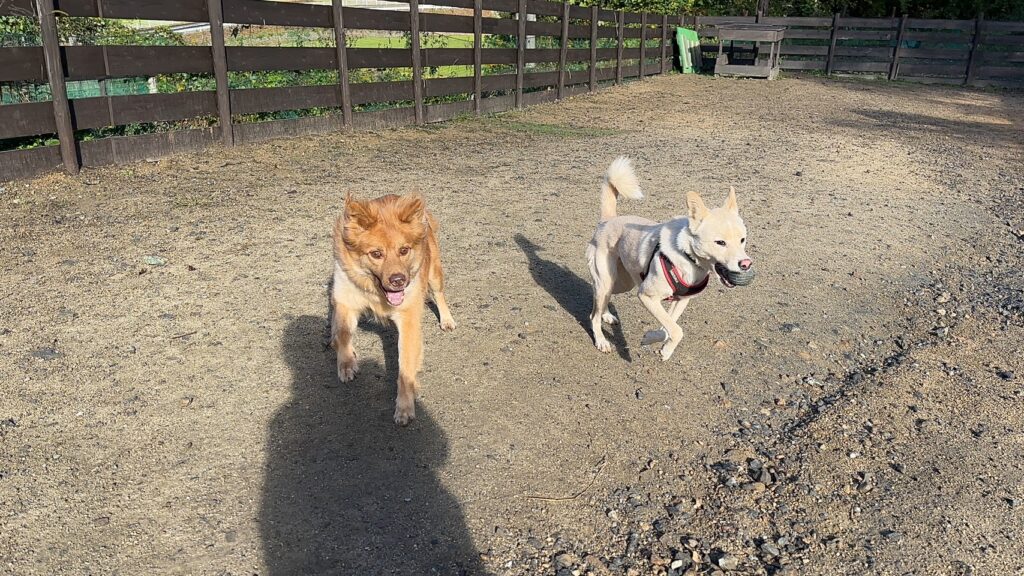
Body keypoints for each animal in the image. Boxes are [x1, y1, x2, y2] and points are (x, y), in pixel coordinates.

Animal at [330, 193, 456, 425]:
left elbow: (405, 368)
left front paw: (405, 407)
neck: (375, 291)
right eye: (376, 254)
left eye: (404, 250)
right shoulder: (345, 301)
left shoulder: (408, 320)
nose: (399, 281)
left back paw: (447, 319)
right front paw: (346, 362)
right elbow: (342, 333)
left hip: (433, 272)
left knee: (439, 294)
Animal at [586, 157, 754, 360]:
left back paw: (607, 315)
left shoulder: (681, 300)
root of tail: (607, 220)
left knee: (598, 296)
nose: (745, 264)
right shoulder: (646, 295)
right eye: (720, 242)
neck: (688, 257)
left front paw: (652, 338)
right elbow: (676, 330)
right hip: (609, 280)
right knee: (593, 313)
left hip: (623, 283)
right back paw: (601, 340)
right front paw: (666, 351)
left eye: (742, 240)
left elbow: (667, 327)